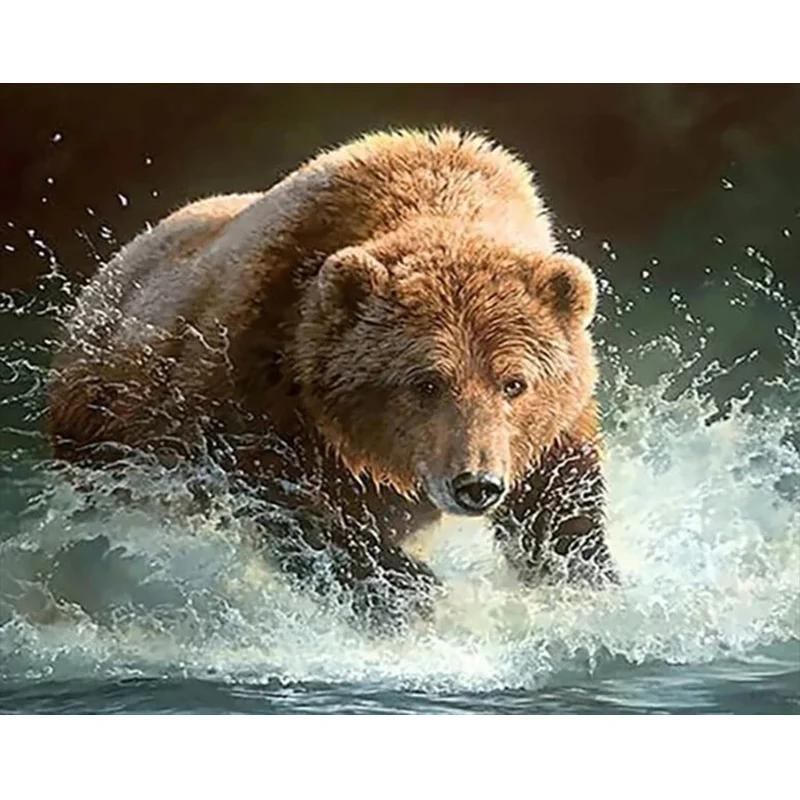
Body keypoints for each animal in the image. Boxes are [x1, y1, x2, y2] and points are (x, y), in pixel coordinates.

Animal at [48, 128, 617, 633]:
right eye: (427, 382)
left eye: (514, 383)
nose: (476, 483)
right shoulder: (259, 376)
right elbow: (286, 500)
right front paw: (405, 589)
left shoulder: (552, 428)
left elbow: (559, 507)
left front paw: (585, 581)